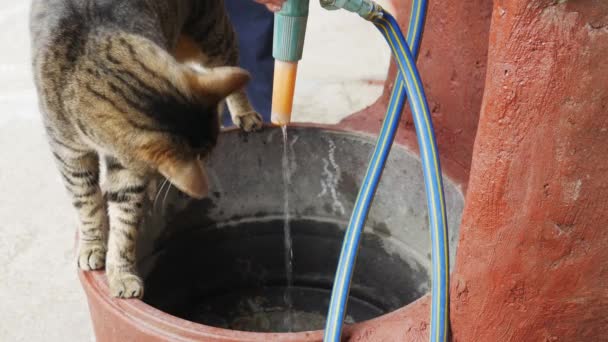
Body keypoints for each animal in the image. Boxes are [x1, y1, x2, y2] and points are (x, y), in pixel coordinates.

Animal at [30, 0, 264, 298]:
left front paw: (121, 273)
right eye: (202, 155)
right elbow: (86, 201)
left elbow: (124, 221)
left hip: (211, 33)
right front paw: (93, 244)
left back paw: (245, 113)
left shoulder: (126, 170)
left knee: (229, 64)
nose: (209, 160)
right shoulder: (68, 152)